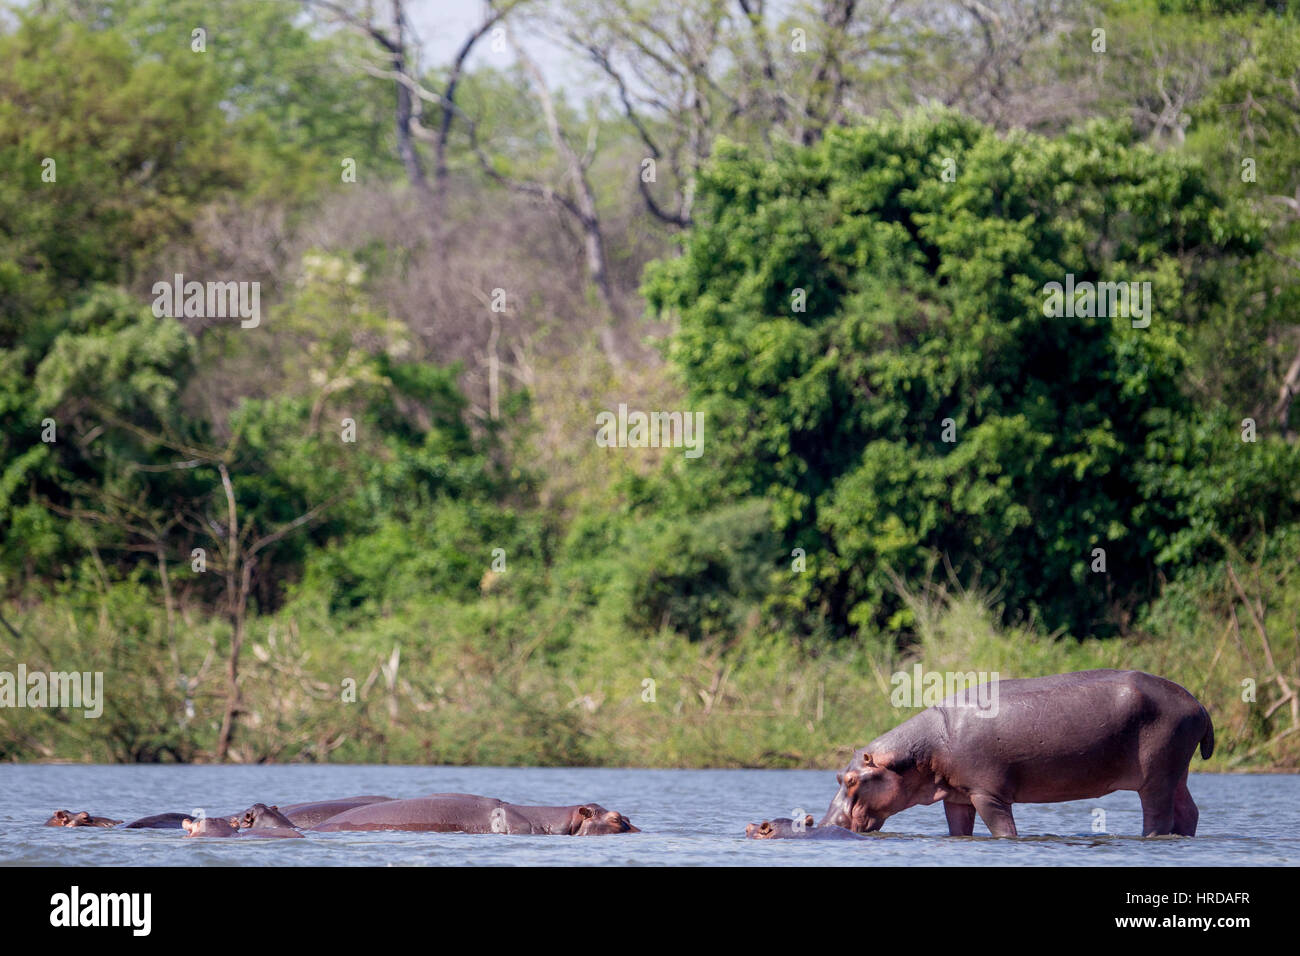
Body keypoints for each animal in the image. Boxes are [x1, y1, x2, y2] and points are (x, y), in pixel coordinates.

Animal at [816, 671, 1211, 837]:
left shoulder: (988, 793)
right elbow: (958, 828)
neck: (921, 751)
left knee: (1157, 817)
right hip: (1178, 771)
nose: (822, 826)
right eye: (836, 776)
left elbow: (1003, 829)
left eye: (850, 779)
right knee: (1188, 811)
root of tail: (1199, 704)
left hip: (1155, 778)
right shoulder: (957, 797)